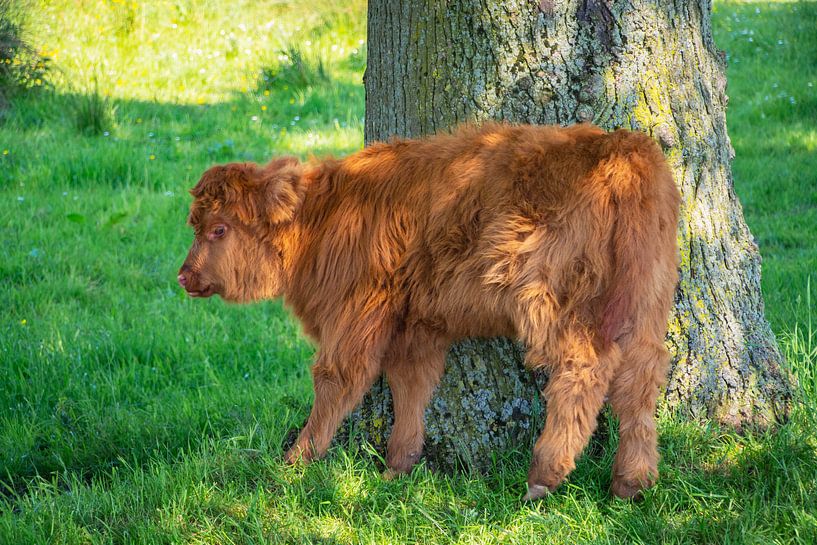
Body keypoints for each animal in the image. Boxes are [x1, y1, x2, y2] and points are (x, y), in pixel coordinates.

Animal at [180, 122, 684, 498]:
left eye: (219, 229)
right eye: (196, 226)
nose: (184, 277)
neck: (324, 216)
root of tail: (621, 149)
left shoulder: (357, 312)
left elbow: (337, 378)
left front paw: (297, 459)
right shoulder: (416, 326)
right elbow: (411, 384)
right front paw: (397, 465)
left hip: (552, 301)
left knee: (585, 369)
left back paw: (544, 475)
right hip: (646, 300)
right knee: (640, 377)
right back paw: (632, 482)